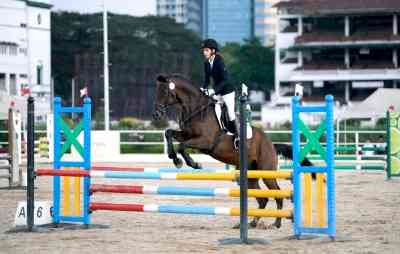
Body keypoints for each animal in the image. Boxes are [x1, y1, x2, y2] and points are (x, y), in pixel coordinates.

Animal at [152, 73, 310, 228]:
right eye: (156, 91)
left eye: (164, 92)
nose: (156, 114)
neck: (196, 109)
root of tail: (271, 144)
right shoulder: (186, 134)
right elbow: (169, 133)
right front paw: (174, 158)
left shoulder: (206, 141)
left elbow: (182, 146)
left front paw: (192, 163)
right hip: (250, 175)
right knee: (263, 199)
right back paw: (252, 223)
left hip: (267, 172)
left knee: (277, 193)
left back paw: (276, 223)